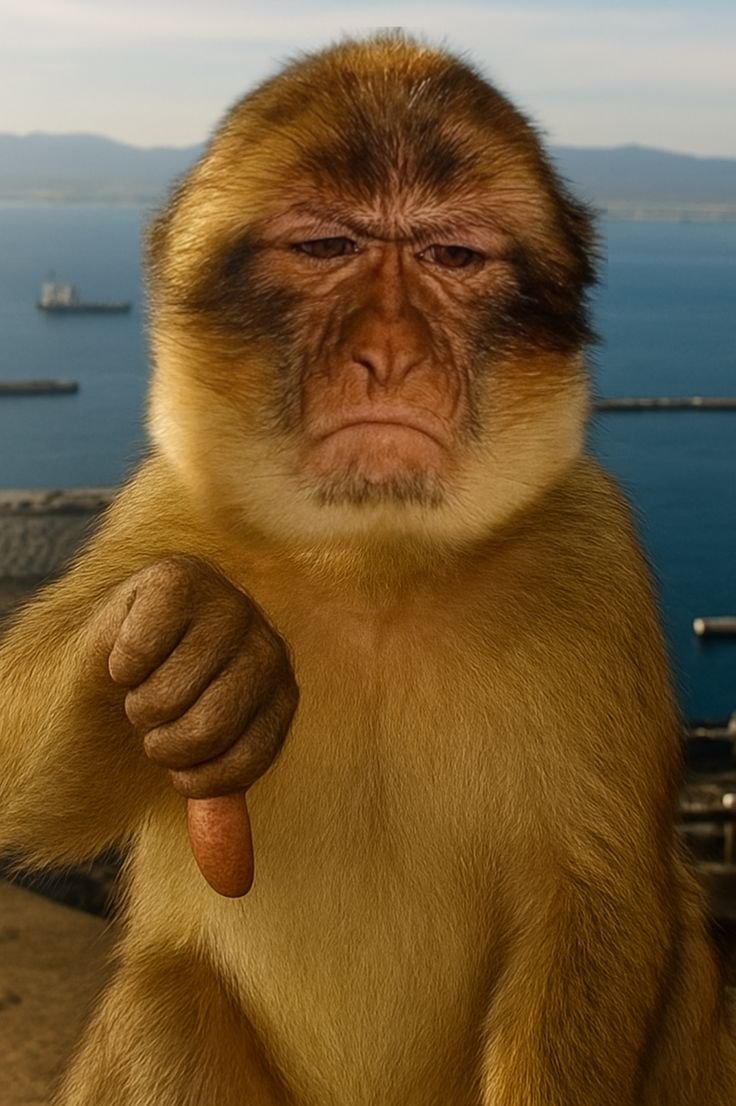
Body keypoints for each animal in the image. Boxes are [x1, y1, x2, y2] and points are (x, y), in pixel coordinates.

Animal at [0, 30, 734, 1106]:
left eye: (452, 255)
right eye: (326, 247)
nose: (388, 354)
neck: (373, 568)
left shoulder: (590, 553)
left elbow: (598, 902)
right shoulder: (167, 506)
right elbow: (24, 788)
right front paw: (205, 650)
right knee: (161, 999)